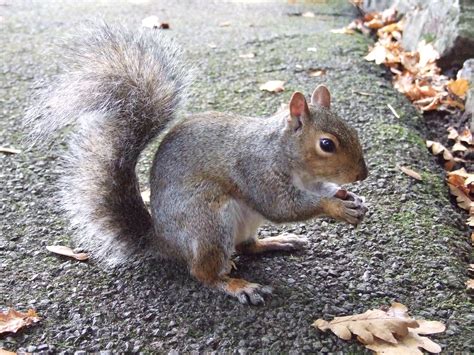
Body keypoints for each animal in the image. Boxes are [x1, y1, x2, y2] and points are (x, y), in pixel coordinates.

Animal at [24, 23, 368, 306]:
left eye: (352, 129)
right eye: (326, 144)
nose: (362, 174)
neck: (288, 156)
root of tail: (164, 241)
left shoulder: (310, 181)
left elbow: (321, 190)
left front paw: (349, 196)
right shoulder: (258, 173)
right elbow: (284, 207)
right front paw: (336, 206)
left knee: (246, 247)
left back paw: (279, 242)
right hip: (208, 223)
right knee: (203, 272)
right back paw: (239, 286)